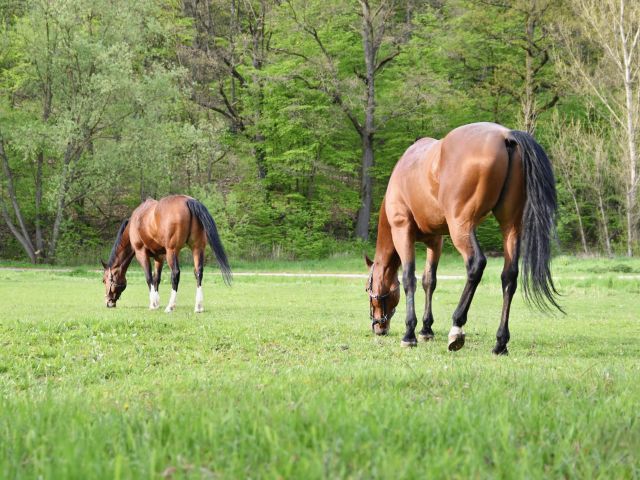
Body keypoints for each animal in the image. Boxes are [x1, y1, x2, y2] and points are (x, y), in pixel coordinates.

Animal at [100, 194, 230, 312]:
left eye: (104, 280)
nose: (108, 302)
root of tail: (188, 201)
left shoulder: (141, 253)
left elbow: (149, 277)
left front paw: (152, 304)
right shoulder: (159, 257)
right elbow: (156, 278)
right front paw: (156, 303)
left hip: (172, 251)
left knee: (175, 273)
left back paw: (170, 306)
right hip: (197, 249)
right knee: (198, 272)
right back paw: (198, 307)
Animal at [364, 122, 560, 354]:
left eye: (367, 289)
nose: (378, 327)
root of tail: (506, 136)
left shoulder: (402, 231)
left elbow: (409, 278)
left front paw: (410, 333)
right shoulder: (435, 241)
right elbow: (429, 281)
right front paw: (426, 329)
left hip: (461, 227)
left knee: (476, 265)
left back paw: (457, 327)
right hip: (510, 227)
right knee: (509, 276)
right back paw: (500, 342)